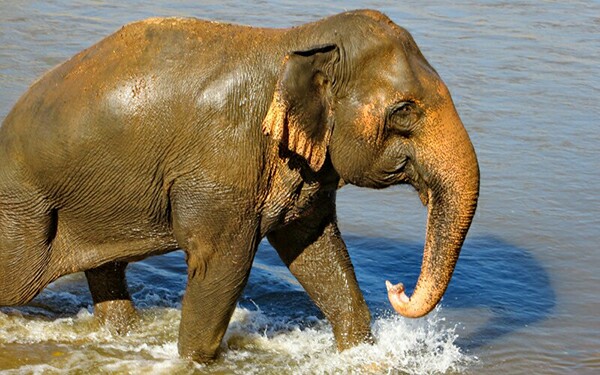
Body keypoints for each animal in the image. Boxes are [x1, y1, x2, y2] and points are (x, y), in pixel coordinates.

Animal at [0, 9, 478, 364]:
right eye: (404, 111)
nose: (396, 289)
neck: (298, 38)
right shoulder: (223, 161)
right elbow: (223, 265)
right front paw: (193, 361)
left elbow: (316, 250)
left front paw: (359, 354)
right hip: (25, 208)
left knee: (105, 269)